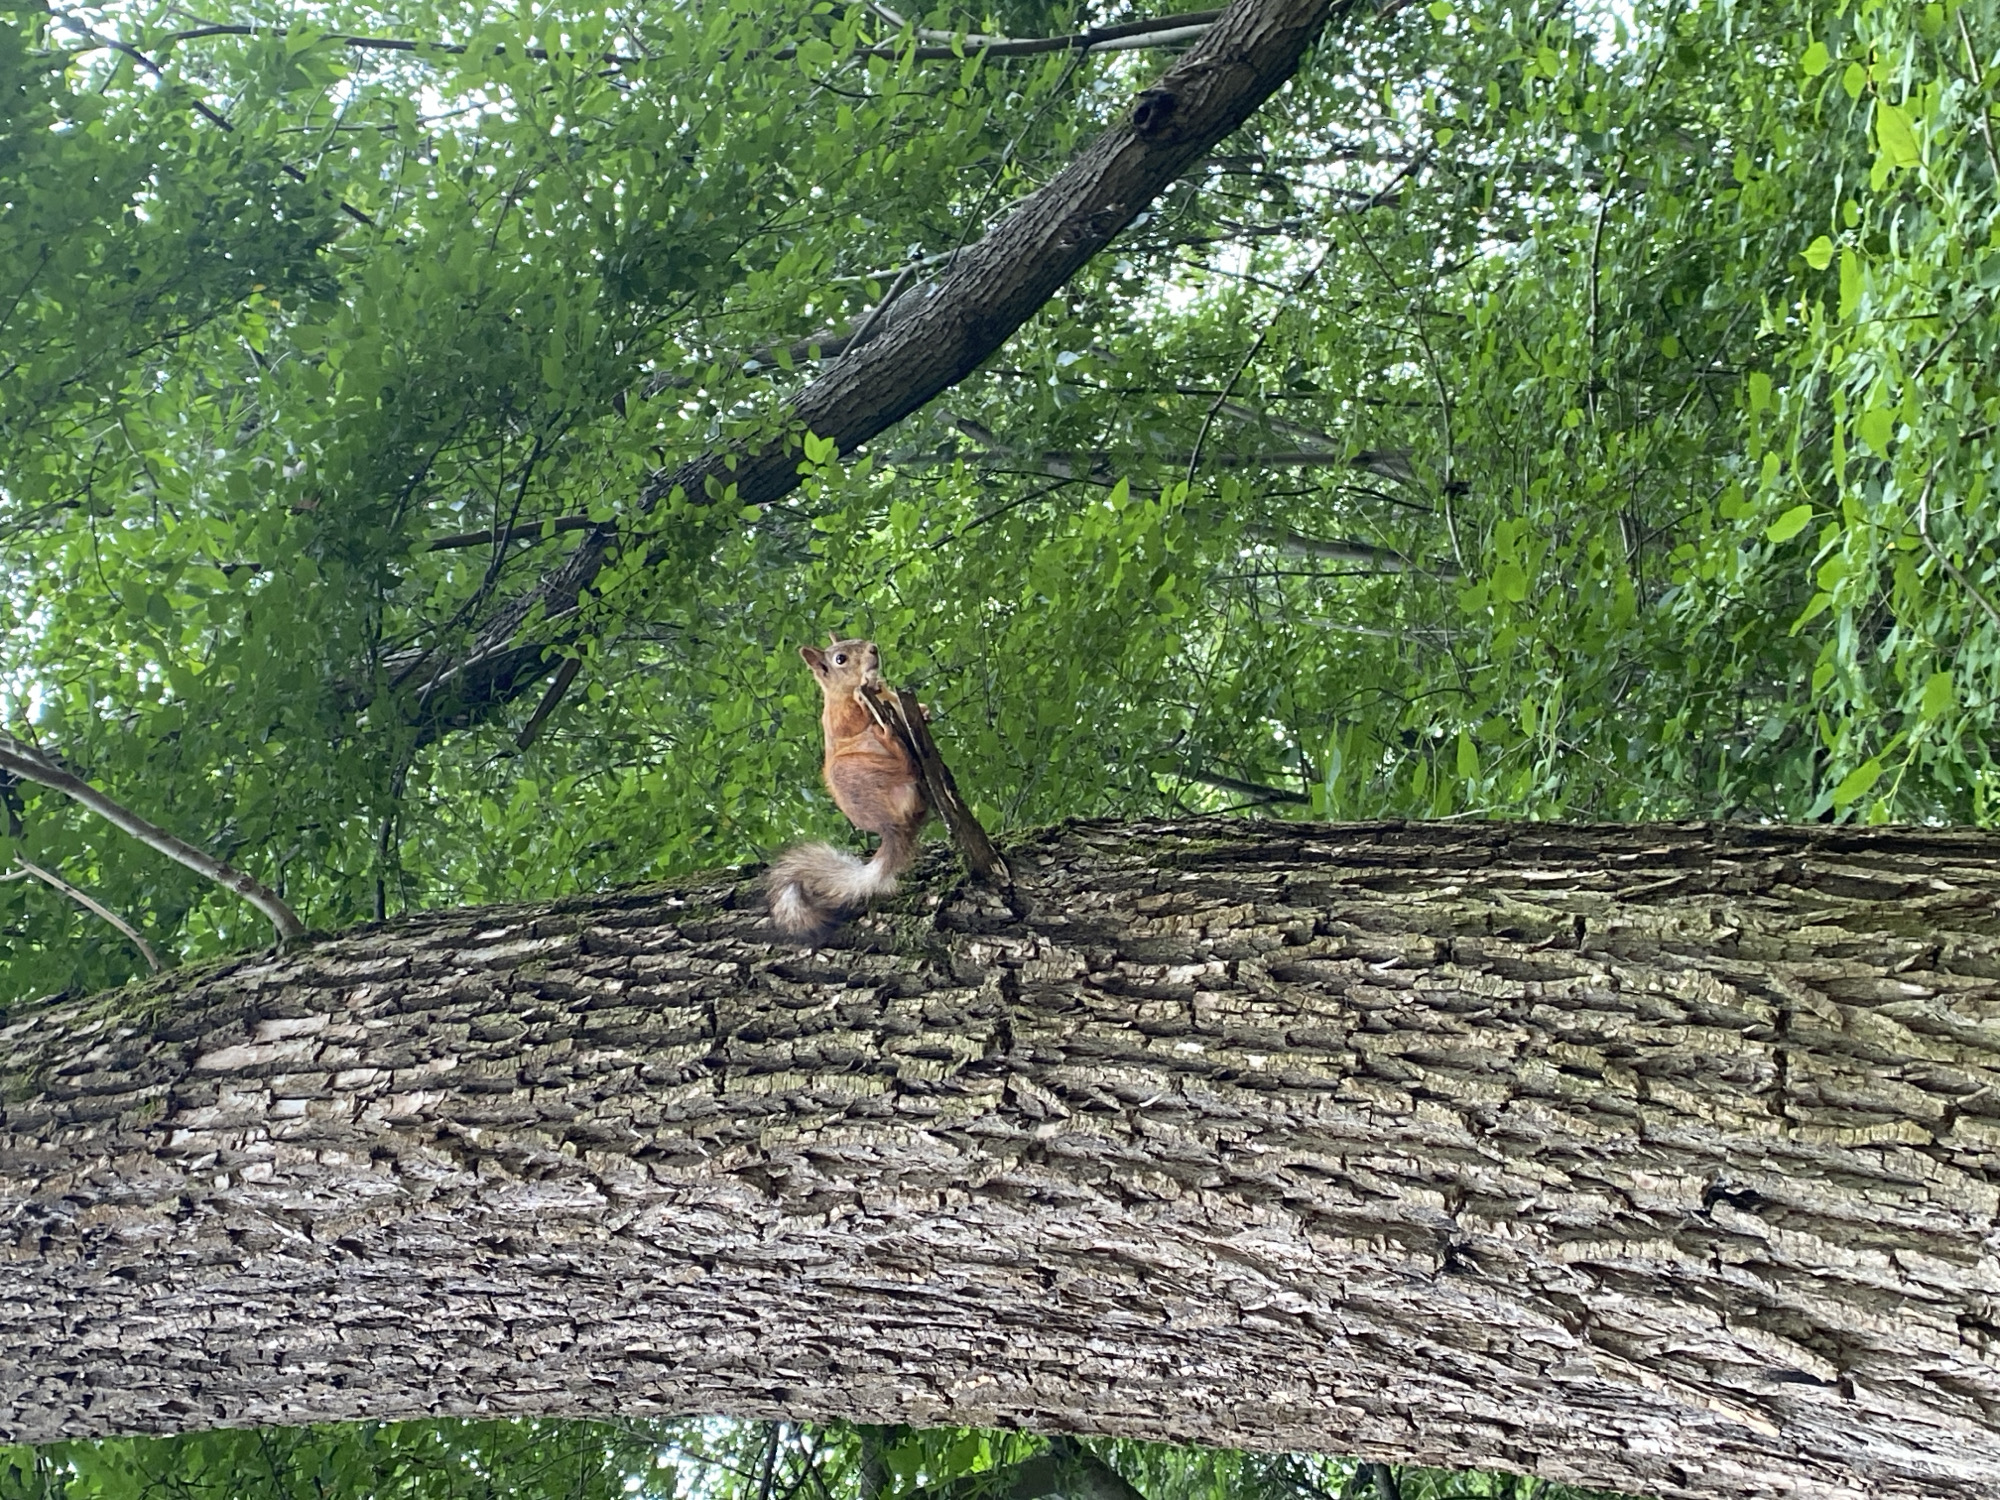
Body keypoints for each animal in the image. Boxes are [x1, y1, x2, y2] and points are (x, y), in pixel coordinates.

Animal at [766, 636, 929, 941]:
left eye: (860, 641)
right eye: (839, 659)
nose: (873, 649)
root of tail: (891, 826)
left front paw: (925, 711)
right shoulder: (840, 717)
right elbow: (855, 715)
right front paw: (864, 689)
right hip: (854, 770)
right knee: (903, 765)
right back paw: (889, 738)